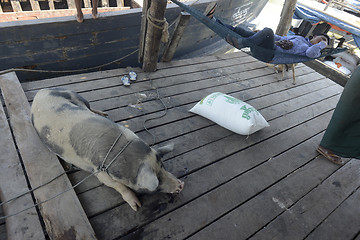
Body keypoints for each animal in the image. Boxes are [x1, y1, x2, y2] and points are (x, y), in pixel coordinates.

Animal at [29, 87, 184, 210]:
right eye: (157, 181)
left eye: (163, 166)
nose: (181, 184)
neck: (121, 149)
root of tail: (41, 91)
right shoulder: (99, 172)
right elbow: (118, 186)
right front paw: (136, 206)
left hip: (74, 95)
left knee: (89, 107)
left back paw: (104, 114)